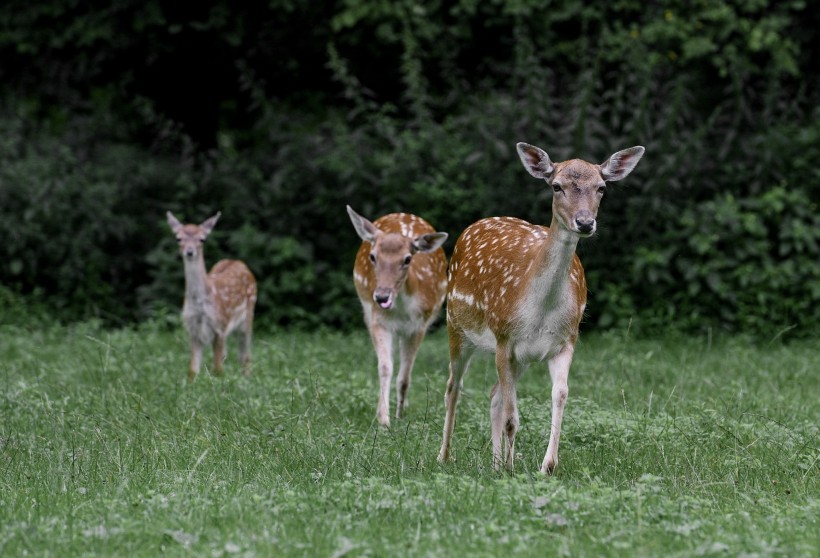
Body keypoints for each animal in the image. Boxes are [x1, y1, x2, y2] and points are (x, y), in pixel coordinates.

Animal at [166, 212, 256, 382]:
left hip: (248, 315)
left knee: (245, 356)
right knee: (228, 355)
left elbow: (217, 370)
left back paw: (247, 379)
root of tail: (238, 262)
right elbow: (192, 370)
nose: (189, 252)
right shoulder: (193, 329)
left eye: (202, 239)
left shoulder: (219, 326)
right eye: (178, 238)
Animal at [346, 206, 448, 428]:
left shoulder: (420, 325)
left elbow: (405, 377)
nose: (382, 297)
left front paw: (400, 415)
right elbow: (385, 367)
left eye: (408, 258)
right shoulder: (378, 321)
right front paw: (383, 419)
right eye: (373, 256)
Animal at [438, 142, 644, 474]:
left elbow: (559, 395)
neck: (540, 311)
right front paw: (512, 468)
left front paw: (546, 465)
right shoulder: (504, 339)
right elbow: (512, 417)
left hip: (520, 357)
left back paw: (495, 462)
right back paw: (445, 456)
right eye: (556, 186)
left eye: (601, 188)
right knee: (452, 387)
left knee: (494, 395)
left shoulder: (566, 341)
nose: (585, 222)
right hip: (456, 325)